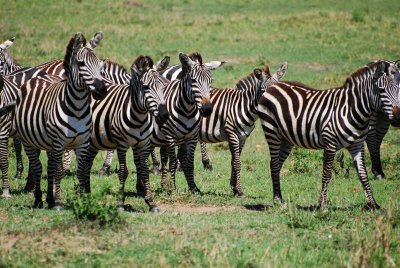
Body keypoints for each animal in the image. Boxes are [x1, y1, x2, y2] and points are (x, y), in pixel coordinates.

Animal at [8, 33, 108, 209]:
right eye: (81, 64)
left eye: (100, 66)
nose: (102, 90)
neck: (77, 107)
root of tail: (37, 78)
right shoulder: (59, 142)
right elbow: (59, 171)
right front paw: (59, 202)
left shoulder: (82, 142)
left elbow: (81, 171)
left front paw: (83, 199)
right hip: (29, 141)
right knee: (37, 167)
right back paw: (39, 199)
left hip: (49, 143)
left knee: (49, 167)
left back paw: (49, 199)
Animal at [82, 55, 170, 211]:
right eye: (146, 87)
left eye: (163, 86)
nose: (164, 115)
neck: (139, 116)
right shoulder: (122, 144)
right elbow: (123, 172)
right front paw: (121, 203)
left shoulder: (143, 144)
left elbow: (144, 171)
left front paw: (151, 202)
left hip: (95, 140)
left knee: (87, 164)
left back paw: (87, 193)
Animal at [197, 62, 288, 197]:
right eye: (263, 91)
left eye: (277, 93)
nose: (273, 111)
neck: (242, 106)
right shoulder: (232, 133)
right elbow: (237, 162)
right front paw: (239, 190)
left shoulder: (243, 137)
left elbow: (233, 161)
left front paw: (234, 188)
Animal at [256, 60, 400, 209]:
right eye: (381, 90)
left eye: (398, 88)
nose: (398, 118)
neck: (351, 110)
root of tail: (273, 85)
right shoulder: (330, 144)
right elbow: (327, 174)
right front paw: (323, 205)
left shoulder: (357, 145)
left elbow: (363, 175)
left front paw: (373, 204)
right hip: (272, 132)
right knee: (274, 164)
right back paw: (277, 199)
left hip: (287, 139)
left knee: (277, 164)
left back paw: (278, 197)